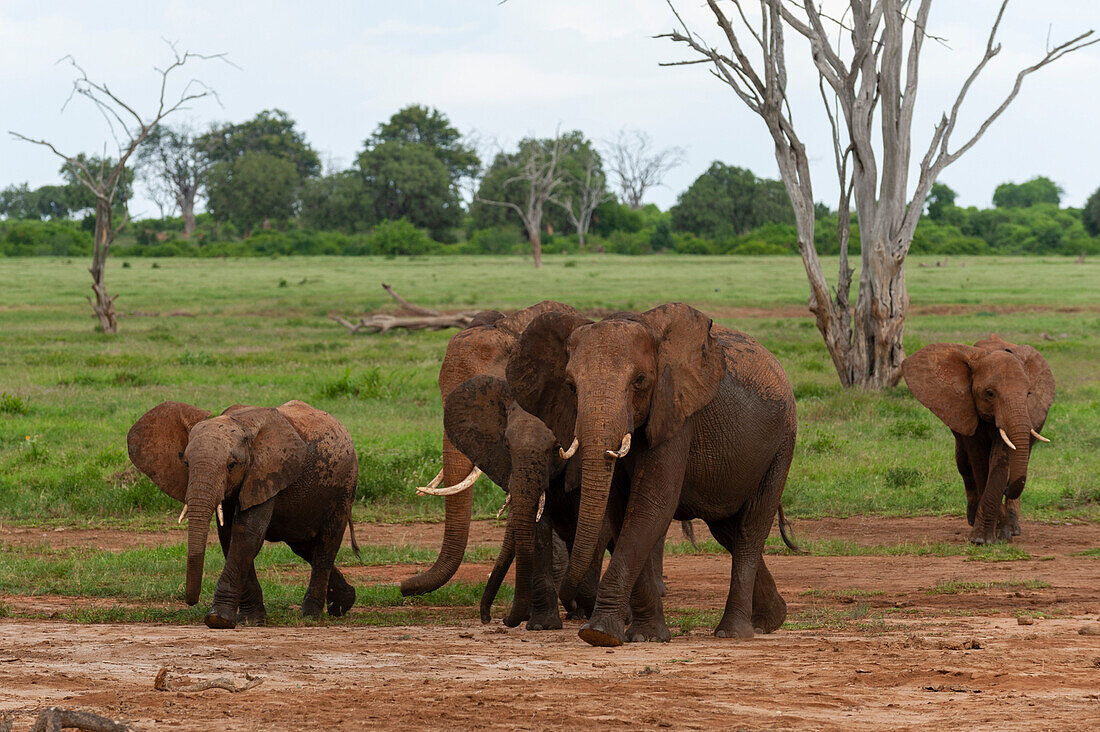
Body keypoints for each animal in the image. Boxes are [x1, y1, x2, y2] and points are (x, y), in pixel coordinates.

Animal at [127, 400, 360, 629]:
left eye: (232, 465)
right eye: (186, 463)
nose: (191, 601)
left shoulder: (264, 474)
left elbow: (246, 535)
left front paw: (218, 620)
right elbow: (229, 536)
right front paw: (250, 620)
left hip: (344, 488)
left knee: (326, 545)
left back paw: (310, 616)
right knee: (303, 546)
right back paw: (344, 603)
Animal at [506, 301, 800, 647]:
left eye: (640, 381)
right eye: (570, 386)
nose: (575, 605)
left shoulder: (676, 412)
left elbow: (651, 504)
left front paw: (599, 633)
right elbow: (621, 511)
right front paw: (644, 636)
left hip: (782, 444)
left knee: (749, 530)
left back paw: (734, 632)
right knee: (726, 530)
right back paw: (770, 620)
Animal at [902, 332, 1056, 541]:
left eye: (1028, 393)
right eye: (989, 393)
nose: (1007, 488)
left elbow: (999, 461)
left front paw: (998, 535)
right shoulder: (965, 407)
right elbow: (980, 462)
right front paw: (985, 538)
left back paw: (1014, 529)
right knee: (963, 465)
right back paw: (974, 519)